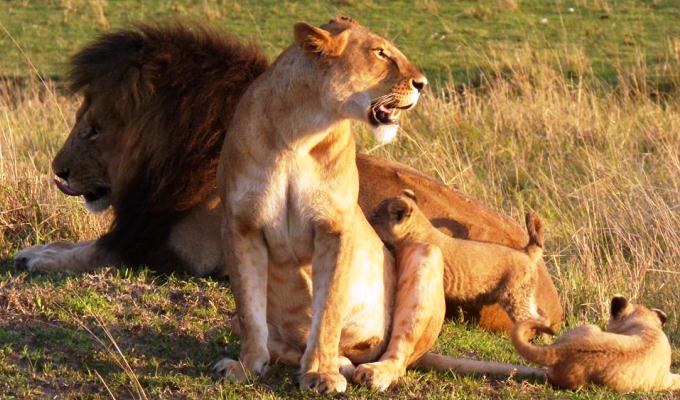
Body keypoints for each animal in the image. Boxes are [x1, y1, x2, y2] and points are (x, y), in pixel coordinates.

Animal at [13, 24, 560, 334]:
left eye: (94, 128)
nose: (58, 172)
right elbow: (87, 242)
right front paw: (41, 249)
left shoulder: (181, 248)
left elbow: (99, 252)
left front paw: (41, 258)